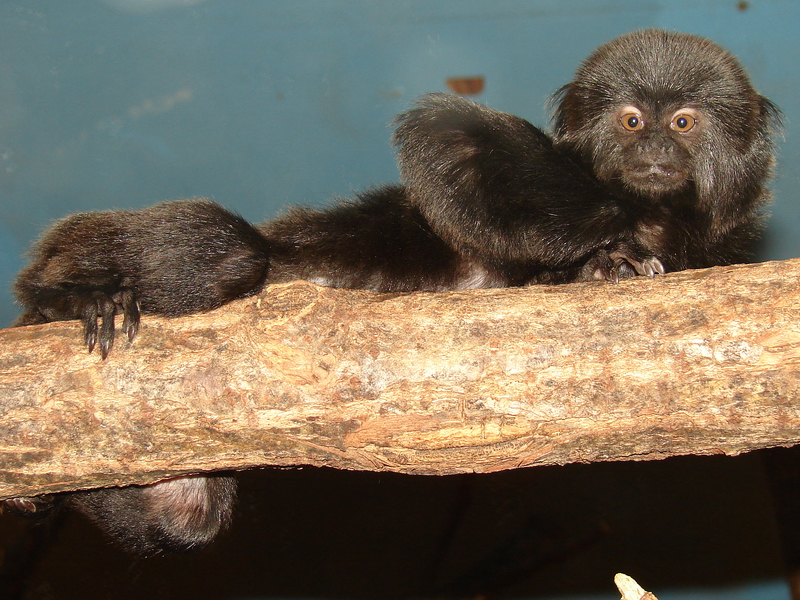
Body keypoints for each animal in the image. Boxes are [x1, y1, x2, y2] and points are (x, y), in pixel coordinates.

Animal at [7, 29, 781, 553]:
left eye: (683, 122)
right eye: (631, 120)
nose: (654, 152)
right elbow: (447, 135)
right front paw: (606, 253)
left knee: (186, 515)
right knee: (232, 250)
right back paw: (64, 298)